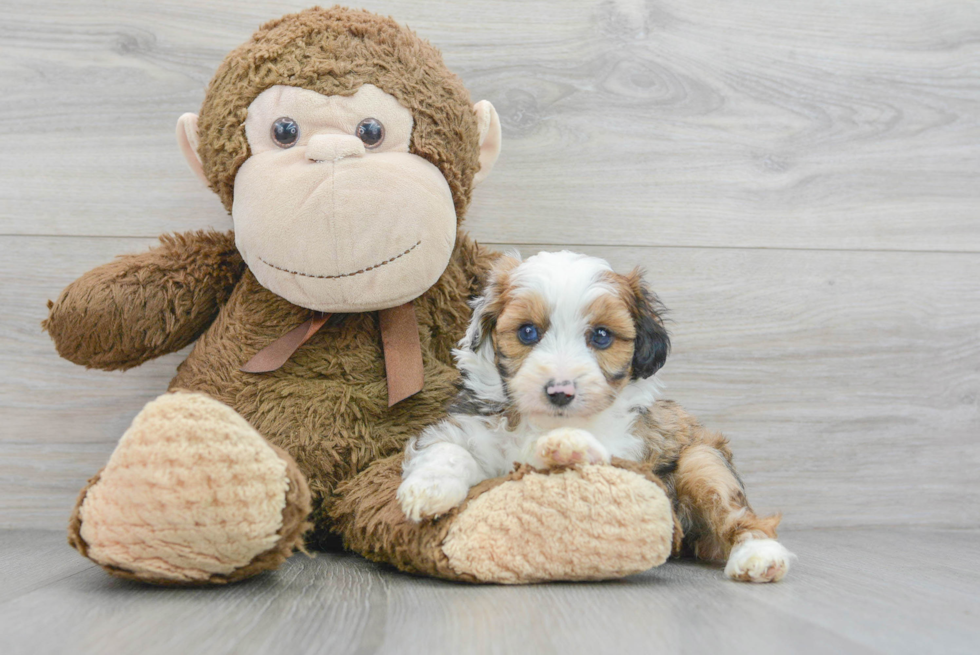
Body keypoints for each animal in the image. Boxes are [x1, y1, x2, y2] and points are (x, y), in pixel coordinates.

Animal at [398, 251, 796, 584]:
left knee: (739, 516)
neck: (543, 422)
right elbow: (449, 450)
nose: (560, 391)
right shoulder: (469, 429)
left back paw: (759, 556)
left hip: (702, 461)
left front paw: (566, 446)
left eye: (601, 336)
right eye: (527, 332)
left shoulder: (631, 453)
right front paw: (429, 490)